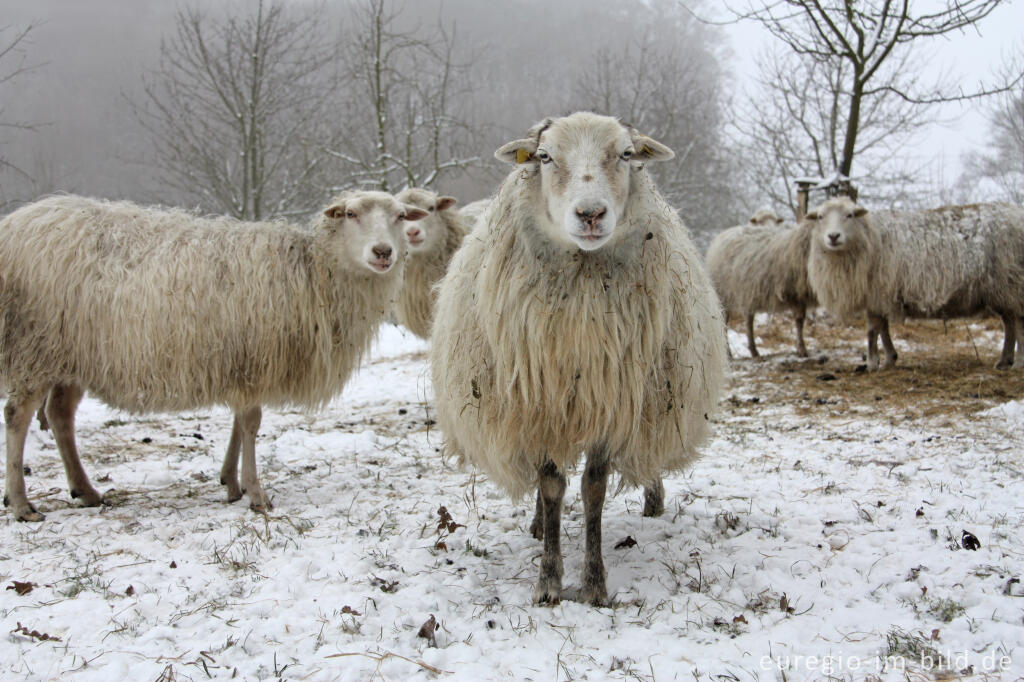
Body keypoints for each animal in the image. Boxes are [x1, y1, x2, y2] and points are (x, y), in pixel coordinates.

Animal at [0, 188, 423, 518]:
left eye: (401, 216)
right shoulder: (254, 357)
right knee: (18, 416)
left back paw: (85, 491)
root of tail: (14, 225)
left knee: (59, 415)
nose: (383, 252)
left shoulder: (244, 362)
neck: (313, 272)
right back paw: (21, 504)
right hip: (33, 347)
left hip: (70, 355)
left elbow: (239, 422)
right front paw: (256, 493)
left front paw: (231, 482)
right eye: (351, 214)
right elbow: (250, 423)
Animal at [432, 112, 729, 606]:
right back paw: (537, 525)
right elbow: (552, 487)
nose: (590, 213)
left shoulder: (612, 401)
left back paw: (653, 500)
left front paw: (593, 583)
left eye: (626, 154)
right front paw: (549, 580)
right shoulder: (542, 405)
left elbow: (593, 490)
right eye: (544, 156)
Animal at [704, 206, 815, 356]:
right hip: (723, 292)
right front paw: (801, 349)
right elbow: (799, 319)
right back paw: (730, 351)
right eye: (759, 221)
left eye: (776, 221)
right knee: (724, 320)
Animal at [802, 193, 1024, 368]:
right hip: (1003, 290)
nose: (833, 236)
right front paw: (890, 359)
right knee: (1009, 323)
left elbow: (873, 330)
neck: (869, 237)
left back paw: (1018, 363)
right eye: (820, 217)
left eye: (849, 215)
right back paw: (1004, 361)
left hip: (1012, 283)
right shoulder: (878, 297)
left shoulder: (878, 293)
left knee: (1019, 322)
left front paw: (873, 363)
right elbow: (882, 329)